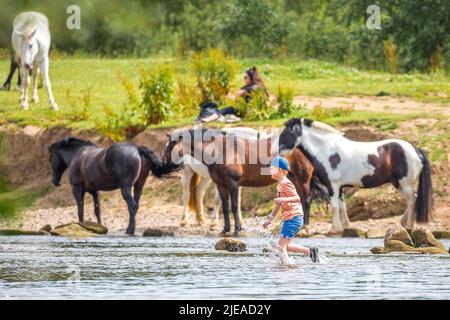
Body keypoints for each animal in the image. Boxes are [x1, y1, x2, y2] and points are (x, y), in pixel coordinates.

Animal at [163, 128, 314, 238]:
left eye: (171, 146)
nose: (163, 164)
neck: (220, 151)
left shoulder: (233, 184)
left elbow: (234, 206)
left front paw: (237, 230)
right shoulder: (221, 185)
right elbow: (225, 207)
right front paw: (225, 230)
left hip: (302, 180)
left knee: (306, 200)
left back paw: (305, 228)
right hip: (293, 180)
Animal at [274, 117, 432, 232]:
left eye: (286, 133)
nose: (276, 152)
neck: (326, 149)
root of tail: (416, 150)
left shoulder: (333, 186)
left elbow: (334, 206)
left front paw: (334, 229)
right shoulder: (339, 187)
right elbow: (342, 206)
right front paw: (345, 227)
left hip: (405, 183)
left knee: (412, 200)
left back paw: (408, 225)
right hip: (398, 183)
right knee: (411, 200)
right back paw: (403, 223)